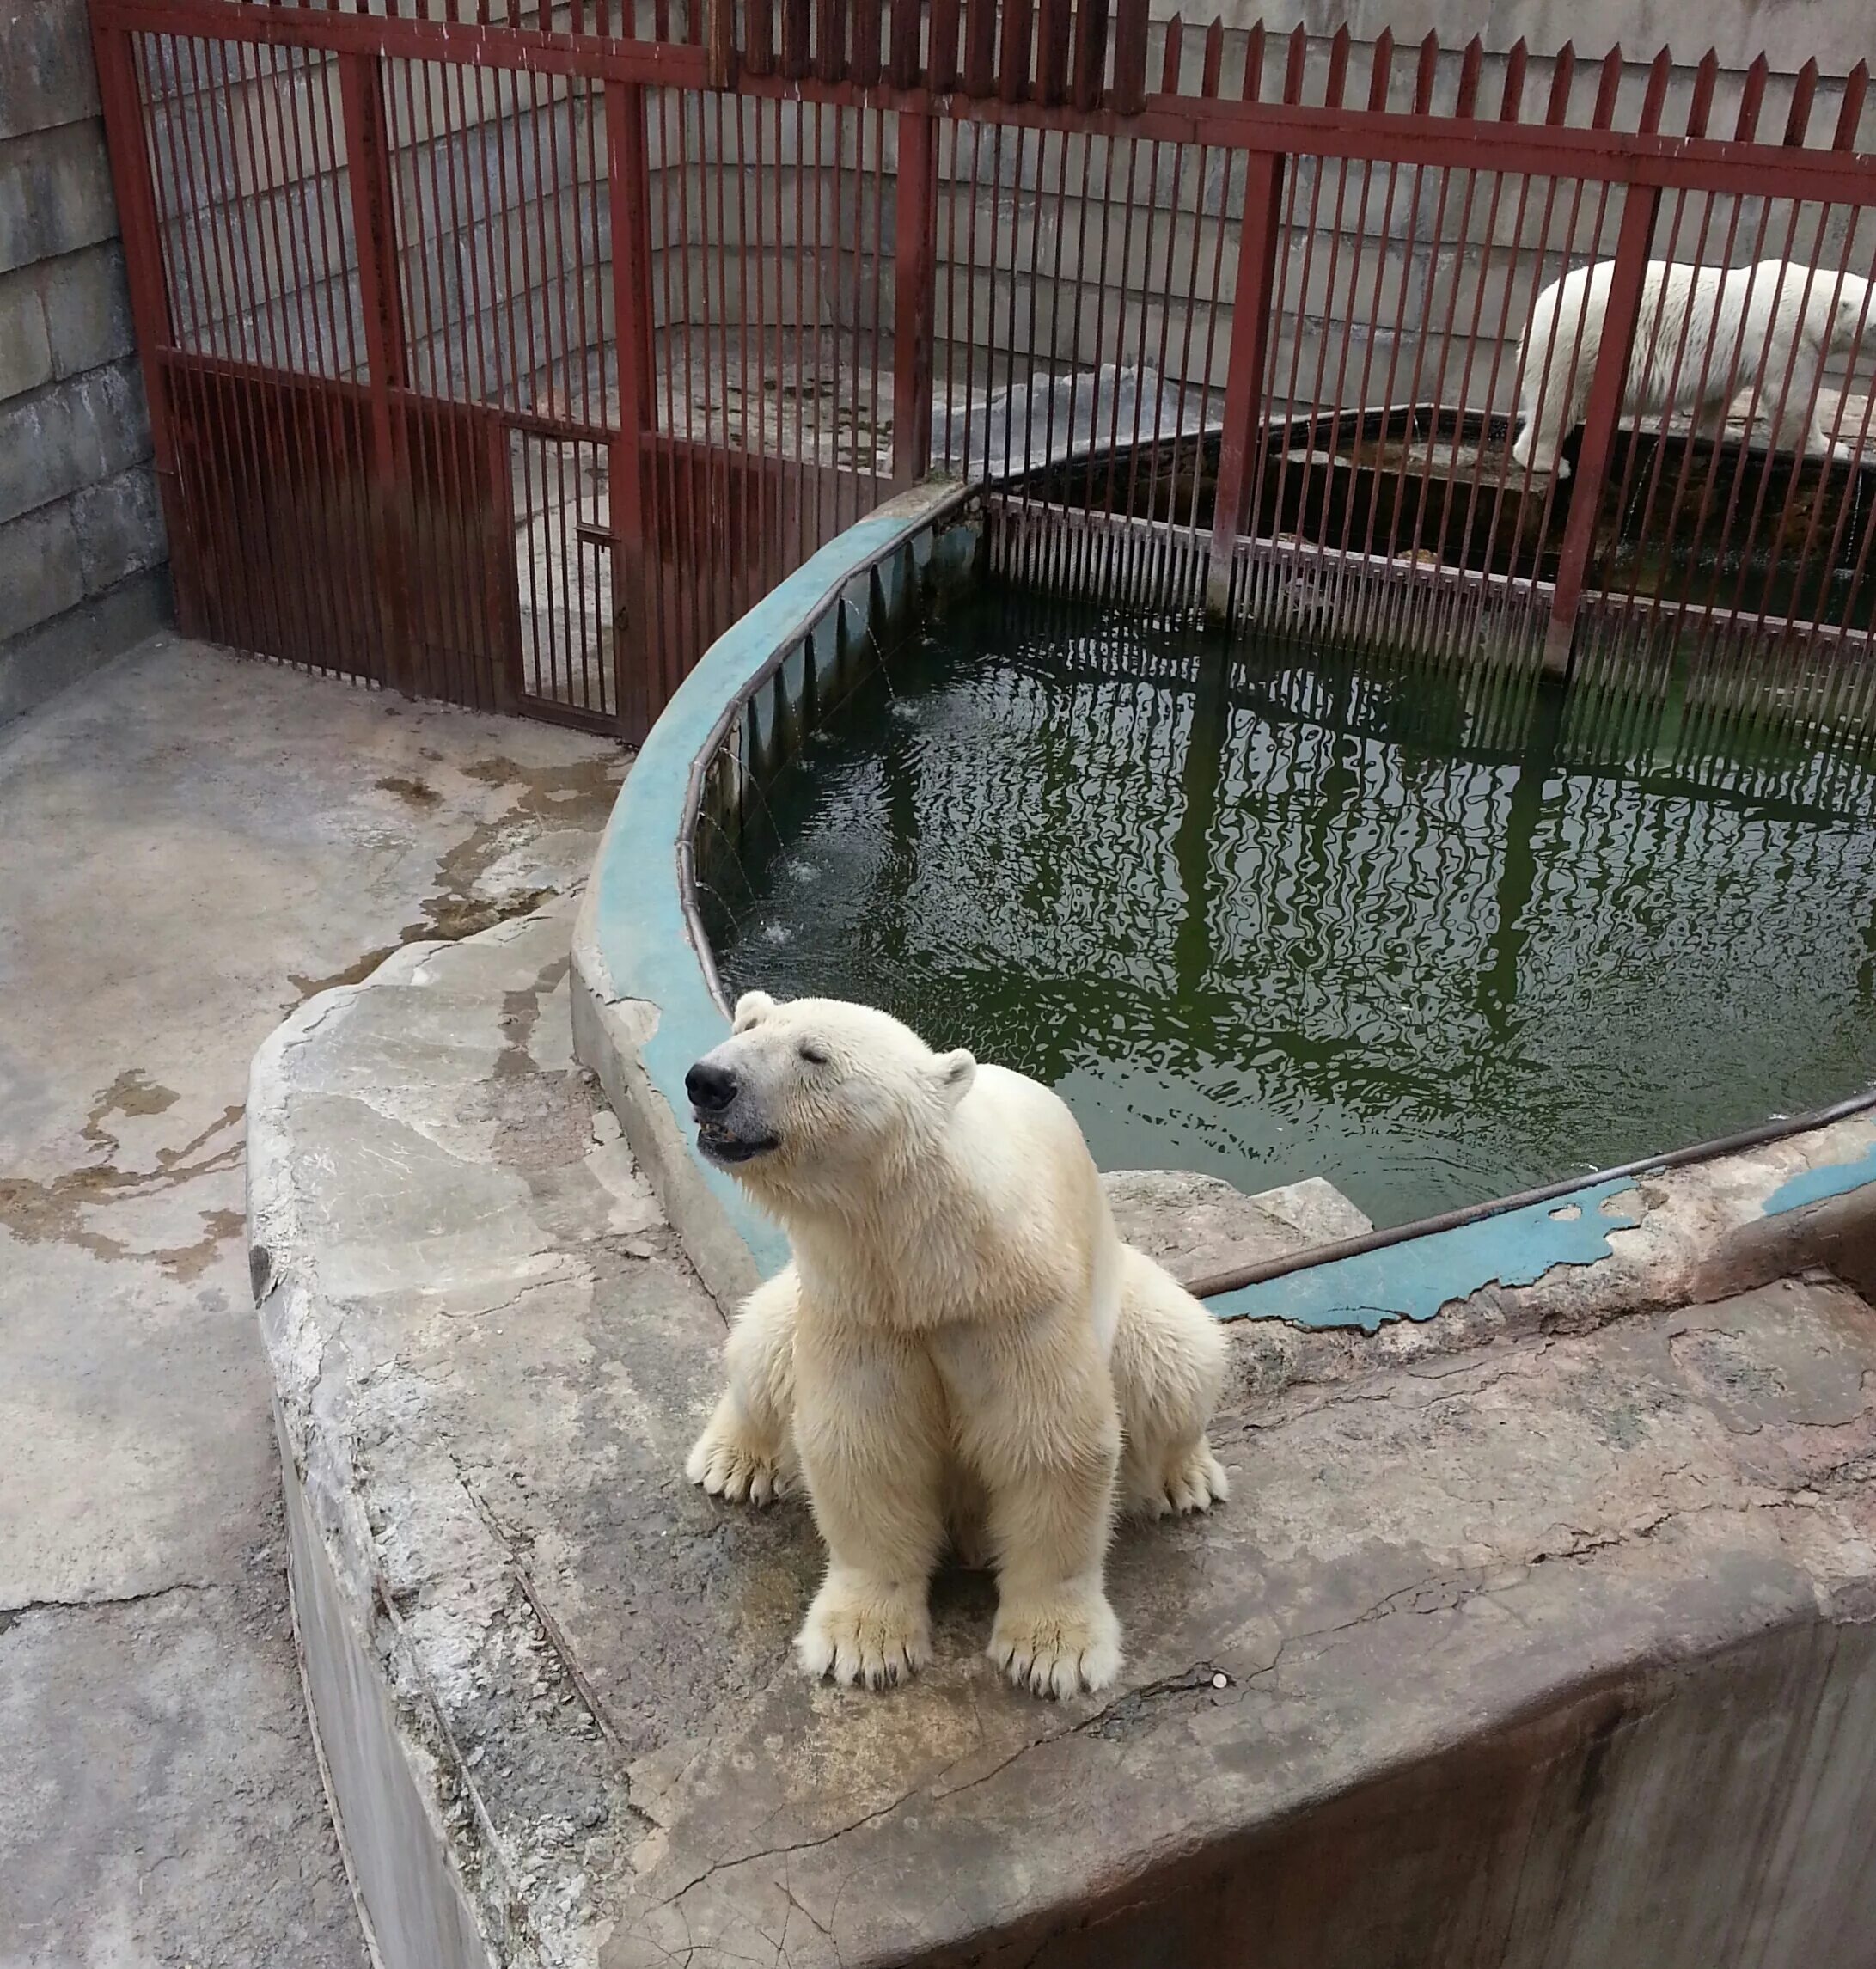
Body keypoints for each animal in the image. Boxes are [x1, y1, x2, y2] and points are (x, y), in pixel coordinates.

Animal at [685, 992, 1228, 1701]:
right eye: (746, 1026)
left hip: (1136, 1308)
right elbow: (864, 1446)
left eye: (813, 1054)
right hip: (796, 1299)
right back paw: (732, 1462)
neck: (931, 1262)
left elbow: (1050, 1447)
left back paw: (1186, 1478)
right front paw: (864, 1644)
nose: (708, 1081)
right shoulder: (860, 1308)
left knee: (1179, 1358)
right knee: (762, 1344)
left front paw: (1050, 1652)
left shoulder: (1017, 1305)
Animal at [1512, 258, 1866, 480]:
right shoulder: (1784, 336)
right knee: (1557, 403)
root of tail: (1538, 308)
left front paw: (1726, 431)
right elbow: (1794, 397)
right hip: (1578, 344)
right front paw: (1834, 448)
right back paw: (1549, 463)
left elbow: (1720, 395)